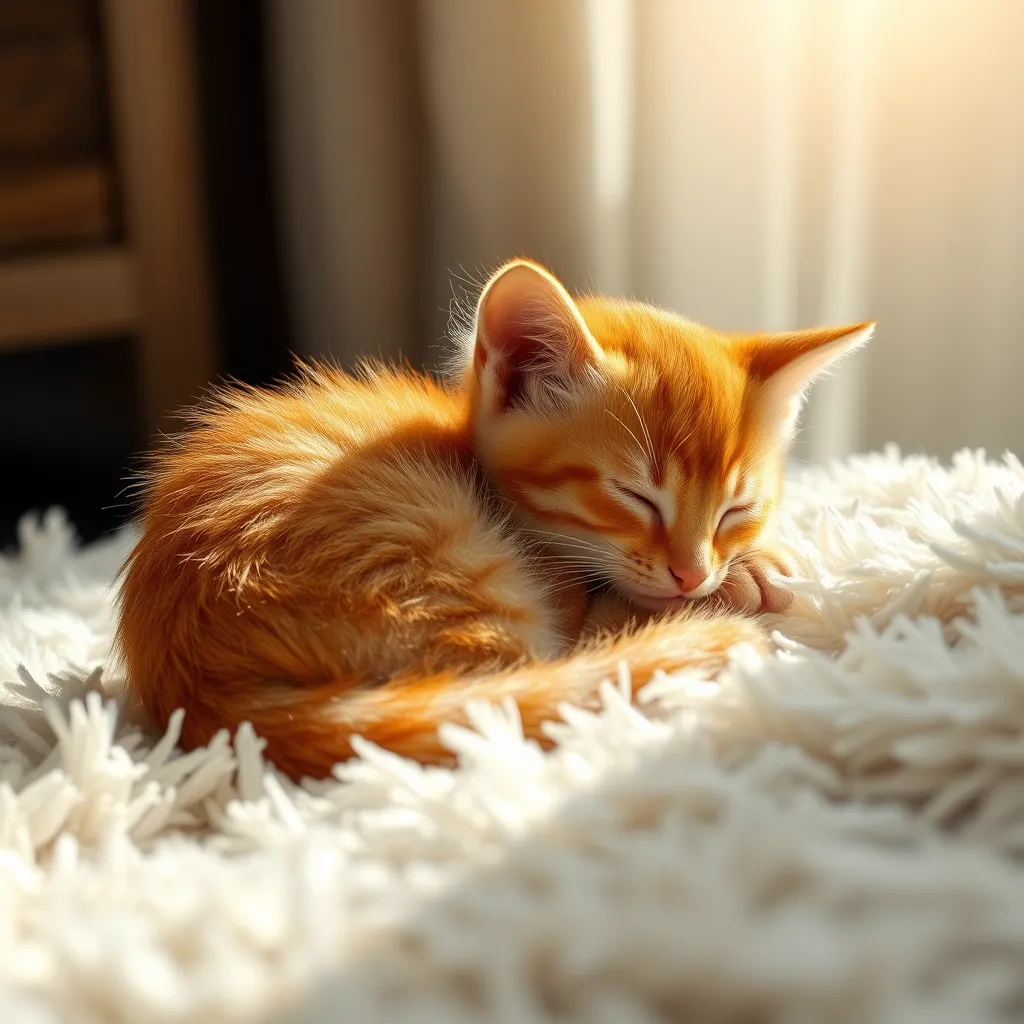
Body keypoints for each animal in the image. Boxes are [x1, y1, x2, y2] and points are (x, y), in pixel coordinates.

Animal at [114, 260, 872, 778]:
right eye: (636, 496)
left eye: (736, 508)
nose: (692, 575)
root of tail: (204, 699)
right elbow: (609, 617)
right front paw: (745, 578)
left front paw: (751, 558)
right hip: (445, 566)